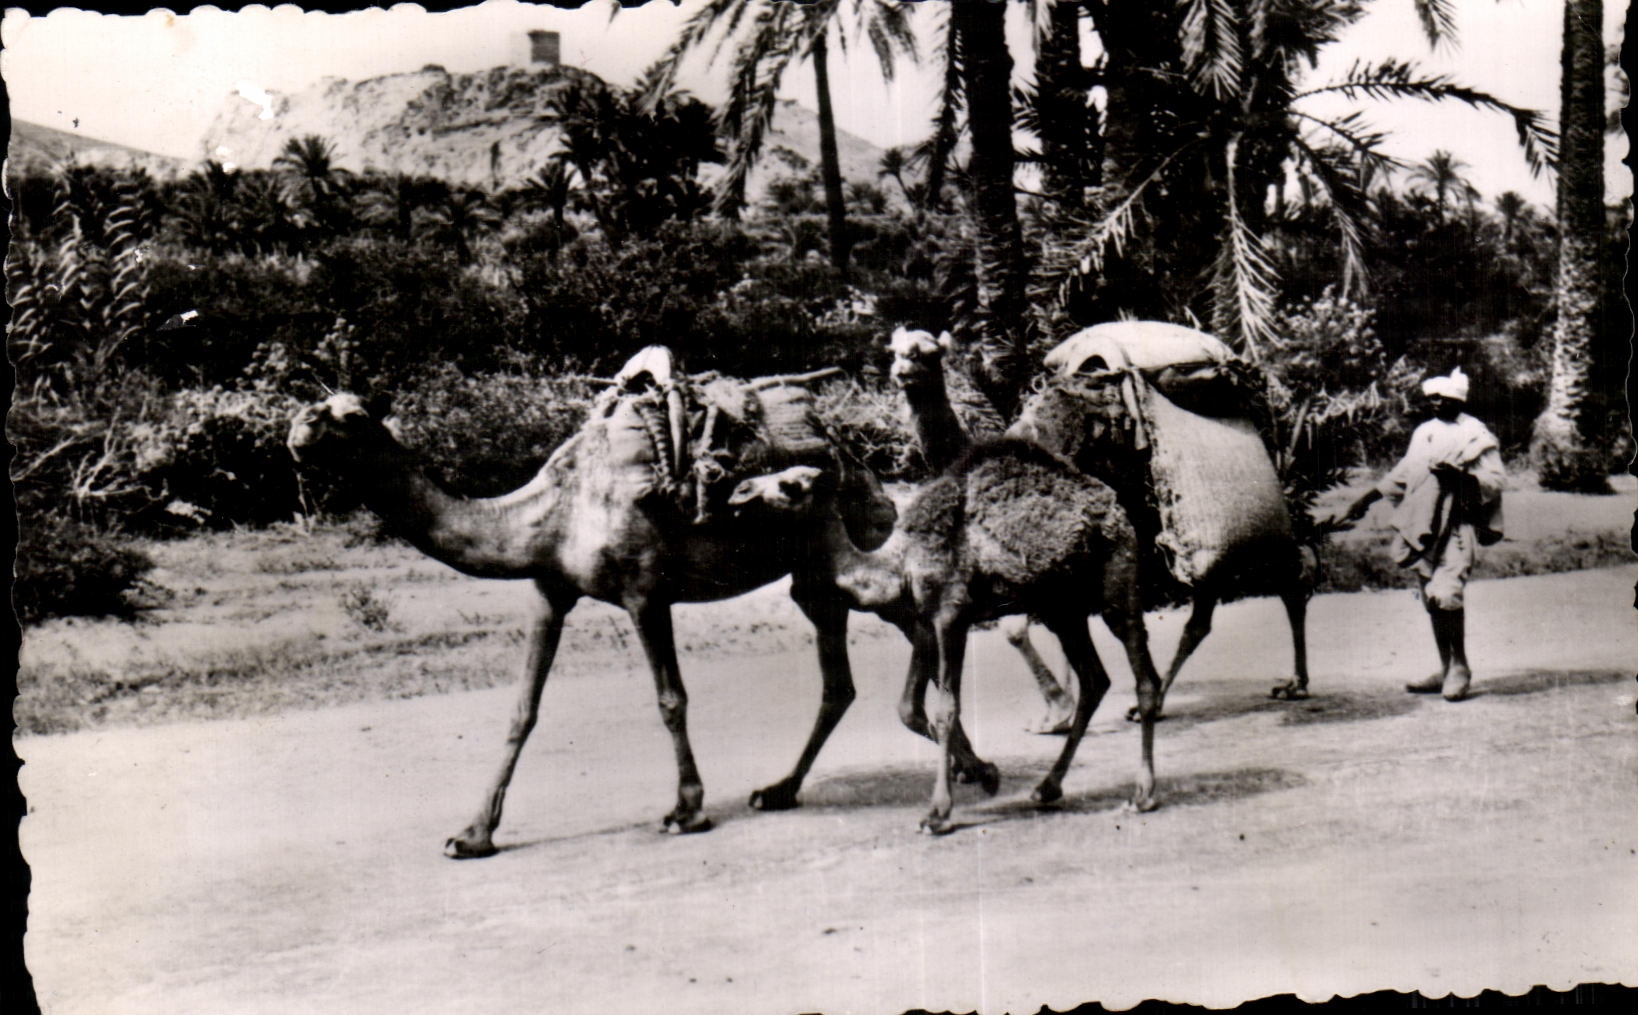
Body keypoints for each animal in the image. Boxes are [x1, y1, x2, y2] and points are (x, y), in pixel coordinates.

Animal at [286, 354, 996, 857]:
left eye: (349, 416)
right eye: (314, 406)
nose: (297, 430)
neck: (553, 512)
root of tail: (848, 451)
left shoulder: (642, 590)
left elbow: (670, 699)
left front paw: (686, 809)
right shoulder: (550, 591)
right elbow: (521, 710)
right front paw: (473, 834)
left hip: (858, 536)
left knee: (914, 626)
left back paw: (971, 767)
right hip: (811, 575)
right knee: (842, 679)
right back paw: (788, 789)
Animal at [730, 438, 1164, 835]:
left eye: (791, 485)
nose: (740, 491)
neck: (898, 562)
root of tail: (1111, 502)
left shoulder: (951, 615)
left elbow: (945, 708)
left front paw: (938, 812)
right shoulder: (927, 619)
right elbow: (914, 708)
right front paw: (984, 774)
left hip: (1117, 578)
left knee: (1143, 674)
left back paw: (1142, 793)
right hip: (1062, 608)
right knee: (1095, 679)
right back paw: (1047, 787)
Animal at [888, 326, 1078, 734]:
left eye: (929, 353)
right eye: (895, 351)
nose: (902, 373)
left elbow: (1017, 628)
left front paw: (1059, 710)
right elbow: (1016, 628)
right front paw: (1057, 712)